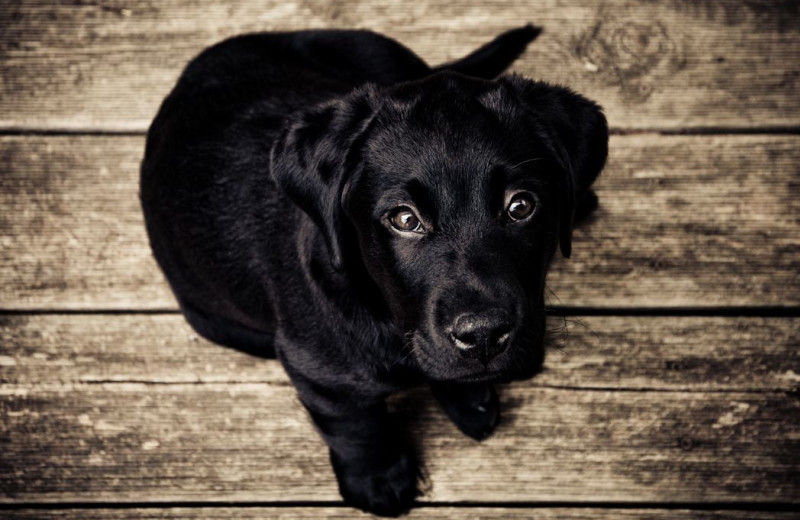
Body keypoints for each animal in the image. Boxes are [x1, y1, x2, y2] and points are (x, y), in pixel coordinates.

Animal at [142, 25, 608, 516]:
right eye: (404, 219)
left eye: (521, 206)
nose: (483, 336)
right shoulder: (317, 372)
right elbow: (356, 426)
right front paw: (379, 479)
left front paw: (467, 396)